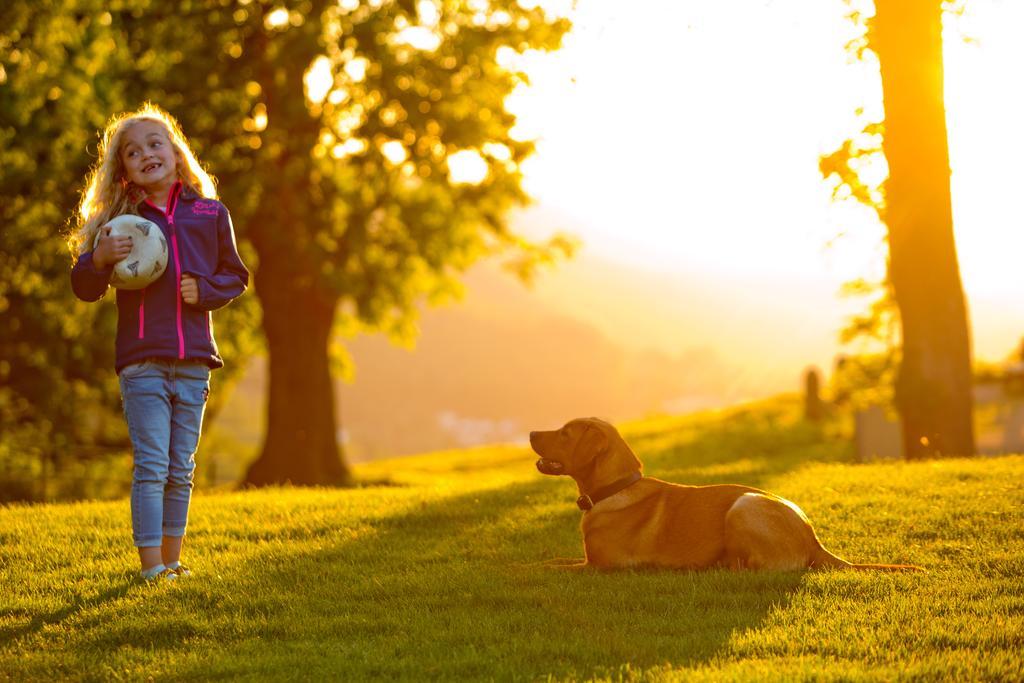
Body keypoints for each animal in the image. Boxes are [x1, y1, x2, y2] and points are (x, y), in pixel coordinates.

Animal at [532, 417, 925, 573]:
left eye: (565, 433)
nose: (533, 433)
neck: (616, 488)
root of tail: (814, 540)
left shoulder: (599, 567)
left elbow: (546, 567)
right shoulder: (586, 560)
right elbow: (553, 560)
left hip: (743, 505)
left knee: (751, 567)